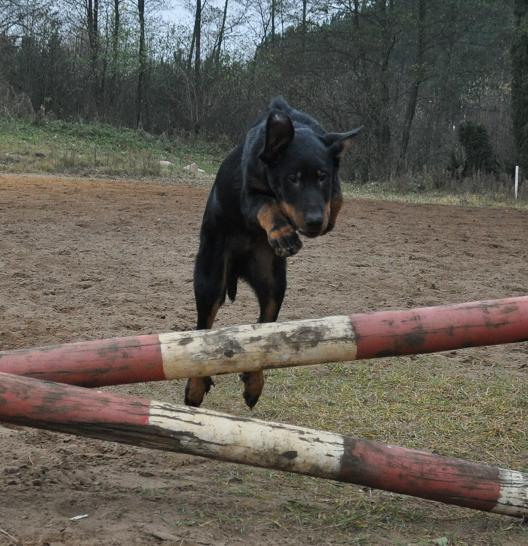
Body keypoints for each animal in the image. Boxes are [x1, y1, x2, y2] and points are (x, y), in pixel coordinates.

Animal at [187, 95, 364, 406]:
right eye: (292, 178)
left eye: (323, 176)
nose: (314, 221)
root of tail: (238, 267)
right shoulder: (249, 196)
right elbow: (266, 204)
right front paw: (282, 232)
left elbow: (337, 195)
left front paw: (328, 214)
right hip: (211, 279)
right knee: (203, 328)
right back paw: (195, 387)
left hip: (273, 283)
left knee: (265, 330)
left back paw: (253, 382)